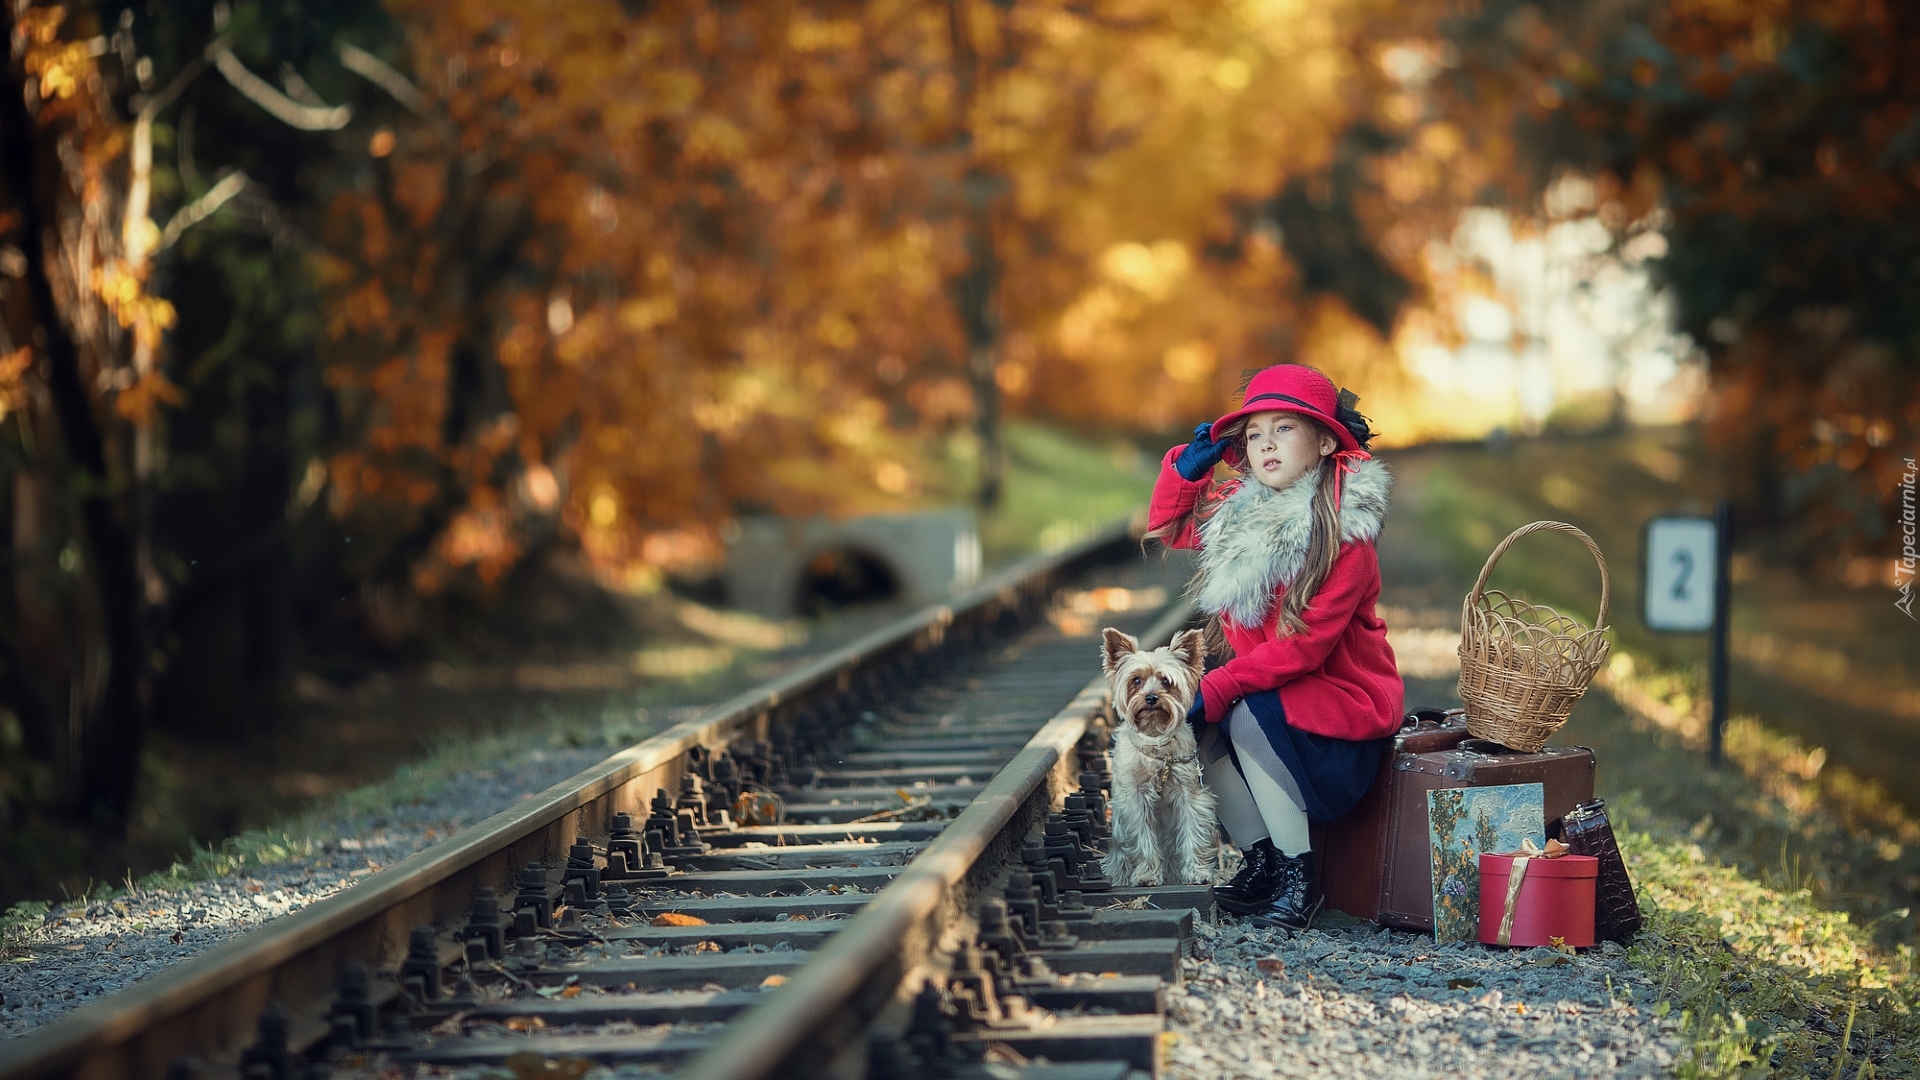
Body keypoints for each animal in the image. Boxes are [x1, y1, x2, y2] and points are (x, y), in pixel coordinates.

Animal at [1098, 622, 1213, 883]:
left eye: (1167, 682)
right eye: (1136, 681)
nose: (1151, 698)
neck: (1155, 738)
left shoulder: (1187, 793)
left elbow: (1191, 830)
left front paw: (1195, 871)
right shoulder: (1136, 799)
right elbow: (1143, 837)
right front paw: (1147, 874)